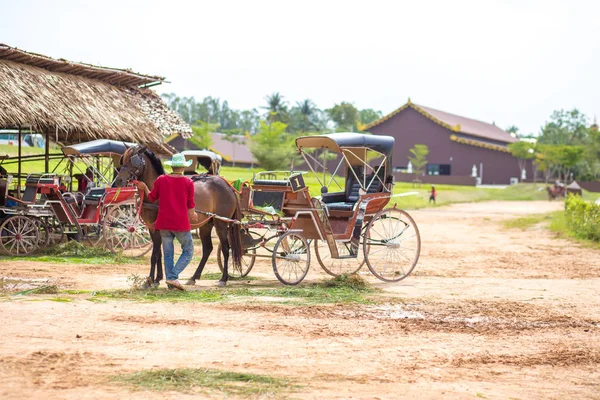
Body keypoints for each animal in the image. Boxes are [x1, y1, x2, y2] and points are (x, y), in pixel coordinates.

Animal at [113, 145, 243, 290]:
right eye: (123, 160)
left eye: (133, 161)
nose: (118, 181)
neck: (154, 194)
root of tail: (228, 186)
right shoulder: (152, 228)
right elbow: (159, 253)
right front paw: (157, 279)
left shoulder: (158, 228)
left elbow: (155, 254)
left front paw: (151, 280)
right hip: (206, 225)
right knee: (207, 249)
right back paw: (193, 277)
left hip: (220, 223)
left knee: (225, 249)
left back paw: (223, 279)